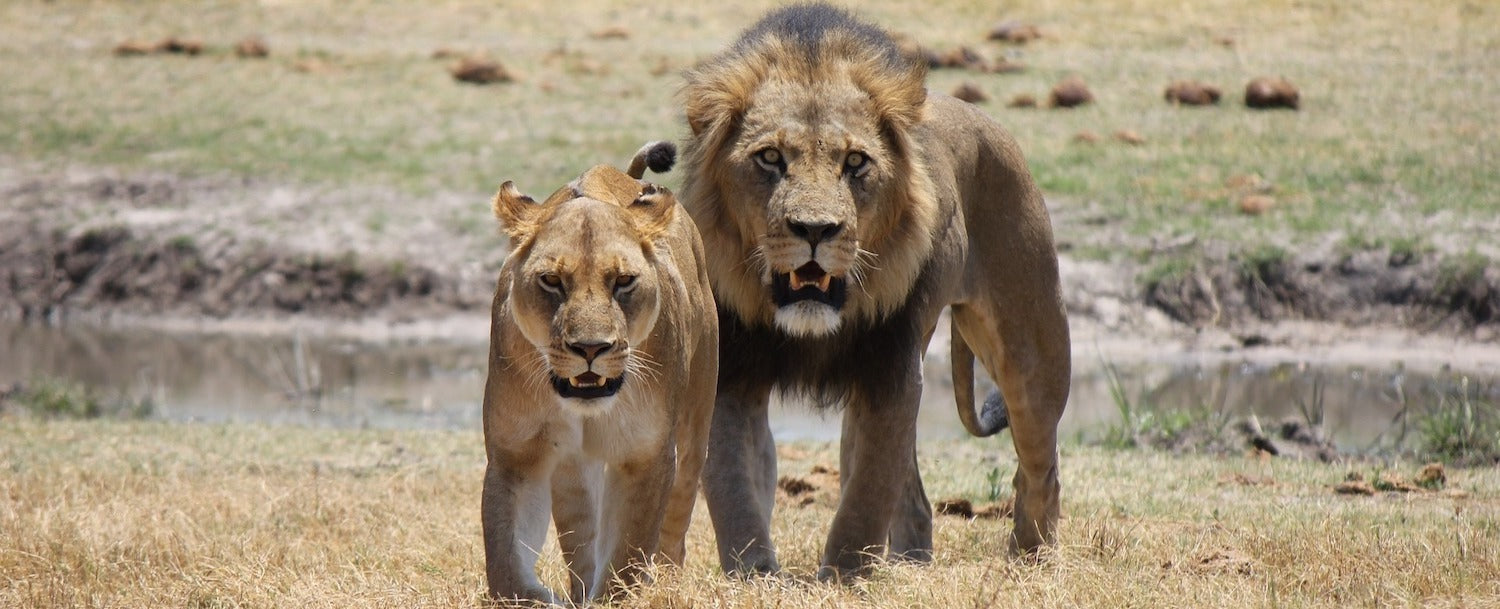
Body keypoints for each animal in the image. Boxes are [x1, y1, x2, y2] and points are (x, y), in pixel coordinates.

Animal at [477, 144, 717, 603]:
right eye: (551, 280)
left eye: (623, 281)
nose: (591, 348)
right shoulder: (516, 455)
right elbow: (506, 566)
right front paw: (545, 600)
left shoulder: (646, 455)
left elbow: (626, 556)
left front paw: (615, 596)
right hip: (574, 470)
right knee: (582, 540)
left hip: (694, 430)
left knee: (674, 530)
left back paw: (667, 585)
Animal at [681, 2, 1068, 579]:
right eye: (770, 158)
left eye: (856, 162)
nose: (814, 229)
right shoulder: (735, 372)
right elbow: (735, 488)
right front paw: (755, 575)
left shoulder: (890, 368)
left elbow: (866, 494)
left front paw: (842, 577)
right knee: (918, 501)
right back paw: (912, 566)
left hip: (1034, 354)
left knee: (1039, 468)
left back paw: (1031, 561)